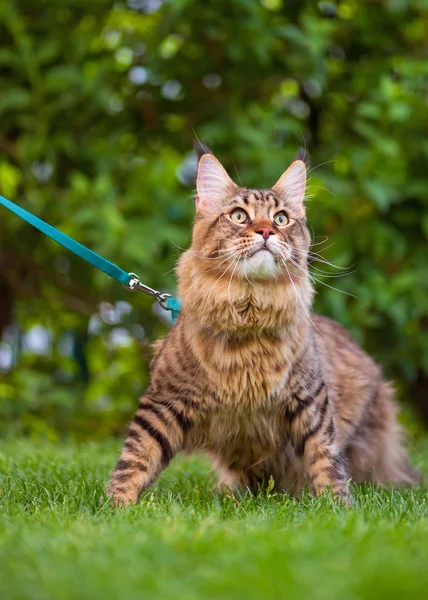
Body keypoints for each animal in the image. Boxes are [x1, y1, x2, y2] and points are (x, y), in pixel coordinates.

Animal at [107, 151, 418, 506]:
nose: (267, 231)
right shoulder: (166, 398)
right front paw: (116, 506)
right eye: (239, 216)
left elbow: (325, 457)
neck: (249, 313)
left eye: (281, 219)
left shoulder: (310, 398)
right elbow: (135, 457)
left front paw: (338, 505)